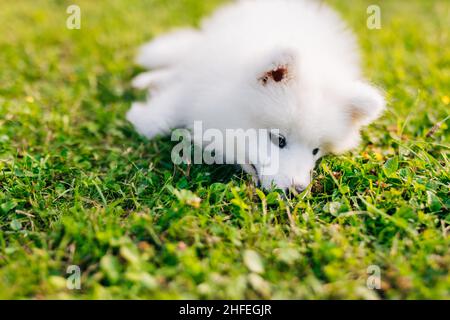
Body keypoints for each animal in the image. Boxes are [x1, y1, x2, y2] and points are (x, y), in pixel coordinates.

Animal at [127, 0, 386, 192]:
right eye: (279, 140)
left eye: (315, 151)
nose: (299, 190)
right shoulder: (198, 80)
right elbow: (159, 118)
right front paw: (143, 114)